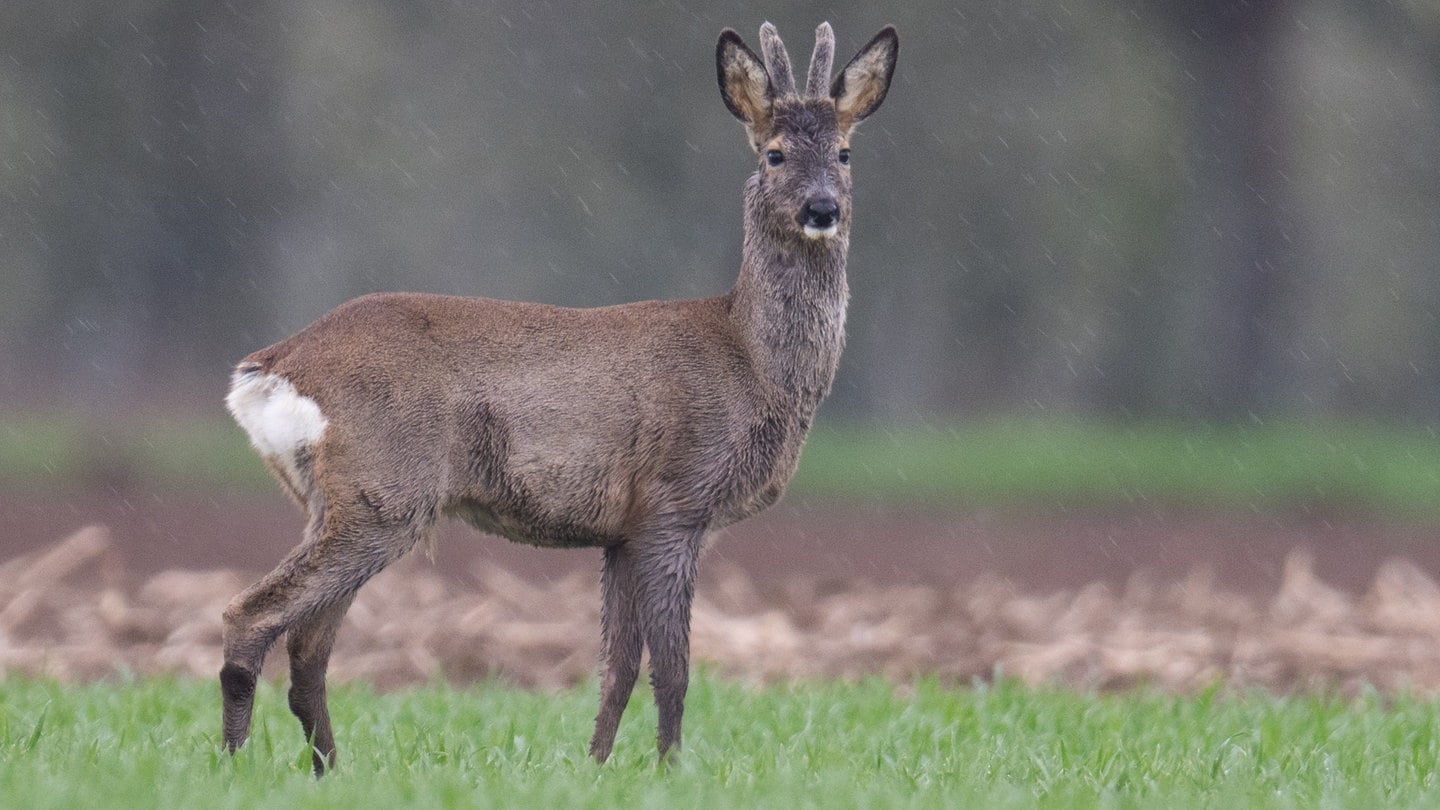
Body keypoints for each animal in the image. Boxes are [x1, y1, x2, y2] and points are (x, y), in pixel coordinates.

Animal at [221, 22, 898, 766]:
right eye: (774, 153)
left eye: (844, 151)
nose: (822, 208)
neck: (749, 360)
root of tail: (271, 366)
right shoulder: (674, 503)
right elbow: (674, 669)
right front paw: (670, 769)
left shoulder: (623, 529)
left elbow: (618, 667)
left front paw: (597, 767)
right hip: (383, 492)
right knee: (252, 616)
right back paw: (235, 764)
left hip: (341, 501)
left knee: (308, 647)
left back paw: (328, 771)